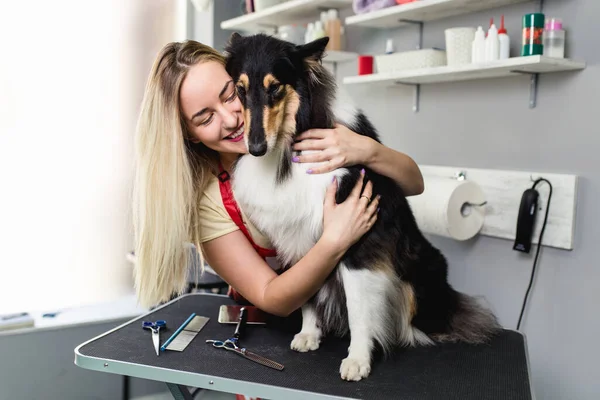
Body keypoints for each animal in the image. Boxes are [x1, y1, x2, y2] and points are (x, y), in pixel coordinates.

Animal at [223, 32, 500, 380]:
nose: (256, 148)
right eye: (240, 89)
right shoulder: (300, 238)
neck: (290, 144)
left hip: (421, 272)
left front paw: (358, 359)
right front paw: (309, 334)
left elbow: (359, 308)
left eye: (275, 88)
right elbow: (307, 295)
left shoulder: (357, 242)